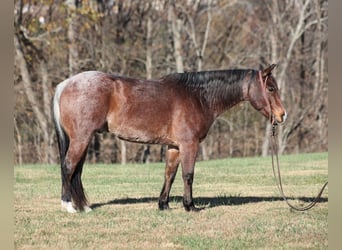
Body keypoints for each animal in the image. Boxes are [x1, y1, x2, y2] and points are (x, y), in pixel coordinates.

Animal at [52, 63, 286, 212]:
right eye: (271, 88)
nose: (282, 115)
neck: (198, 97)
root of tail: (65, 84)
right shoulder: (189, 144)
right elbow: (188, 175)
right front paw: (190, 206)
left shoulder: (174, 147)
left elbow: (169, 175)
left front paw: (163, 204)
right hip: (81, 139)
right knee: (68, 166)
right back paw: (68, 206)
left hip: (83, 140)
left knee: (76, 171)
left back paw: (83, 206)